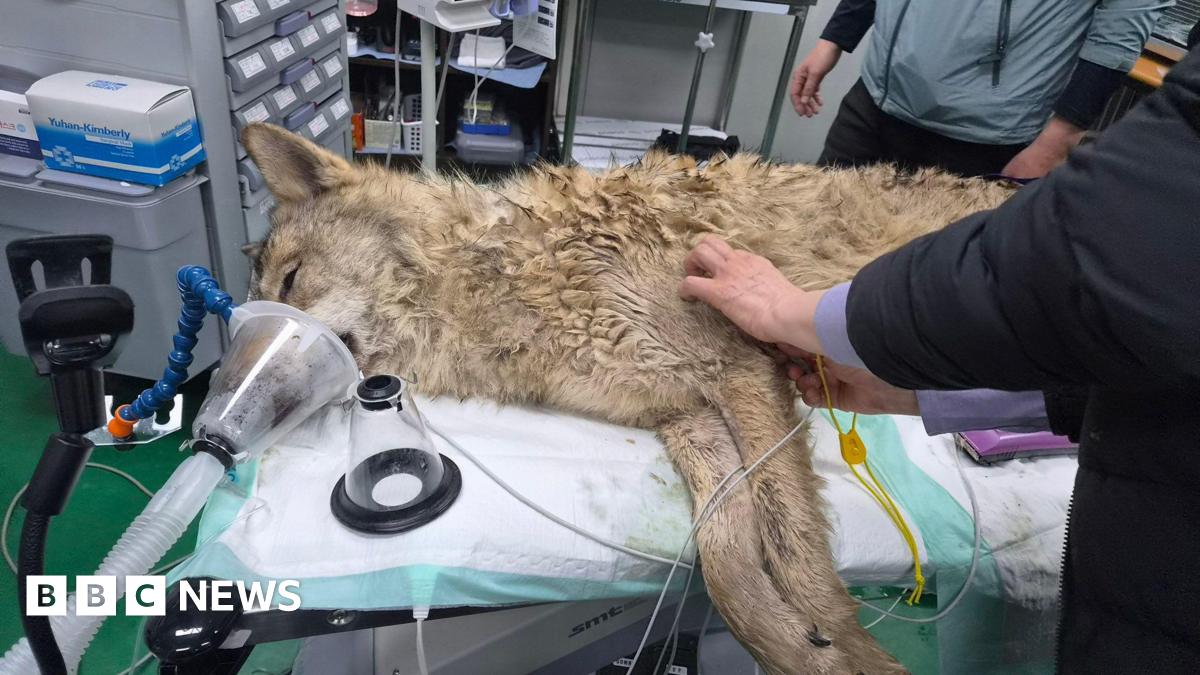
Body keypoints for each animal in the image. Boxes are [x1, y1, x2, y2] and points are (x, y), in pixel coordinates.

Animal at [241, 123, 1012, 674]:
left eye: (292, 281)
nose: (231, 417)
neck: (504, 276)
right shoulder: (686, 415)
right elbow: (728, 563)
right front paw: (800, 647)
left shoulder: (739, 369)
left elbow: (793, 549)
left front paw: (850, 650)